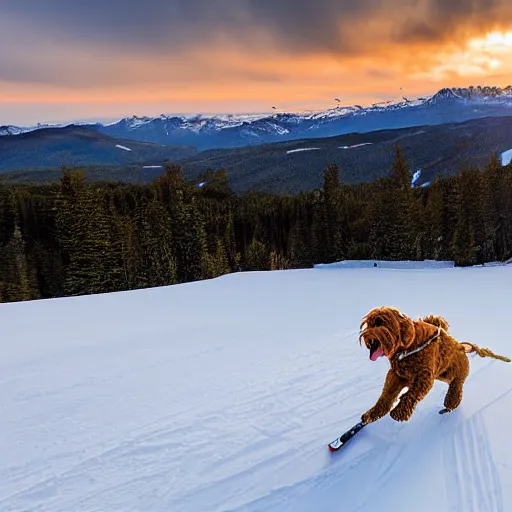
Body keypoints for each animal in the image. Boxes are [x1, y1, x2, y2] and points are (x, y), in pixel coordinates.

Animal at [358, 306, 510, 422]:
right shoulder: (397, 375)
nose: (366, 336)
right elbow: (387, 395)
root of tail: (462, 347)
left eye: (380, 322)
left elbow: (411, 395)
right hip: (443, 374)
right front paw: (373, 413)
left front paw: (399, 413)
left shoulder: (424, 377)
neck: (409, 347)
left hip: (455, 377)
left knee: (455, 392)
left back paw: (448, 407)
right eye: (368, 324)